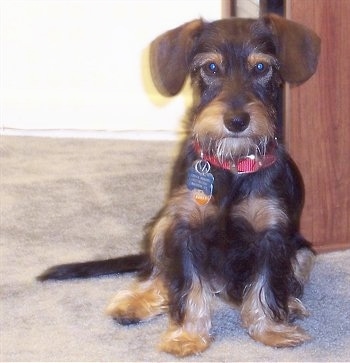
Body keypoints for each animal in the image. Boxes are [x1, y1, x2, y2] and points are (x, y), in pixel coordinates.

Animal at [37, 14, 320, 358]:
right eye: (211, 67)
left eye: (261, 67)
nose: (237, 121)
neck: (231, 166)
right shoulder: (184, 229)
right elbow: (188, 288)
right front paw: (186, 336)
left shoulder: (272, 235)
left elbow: (266, 286)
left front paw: (272, 330)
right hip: (162, 225)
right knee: (158, 274)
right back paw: (135, 303)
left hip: (303, 251)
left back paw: (291, 304)